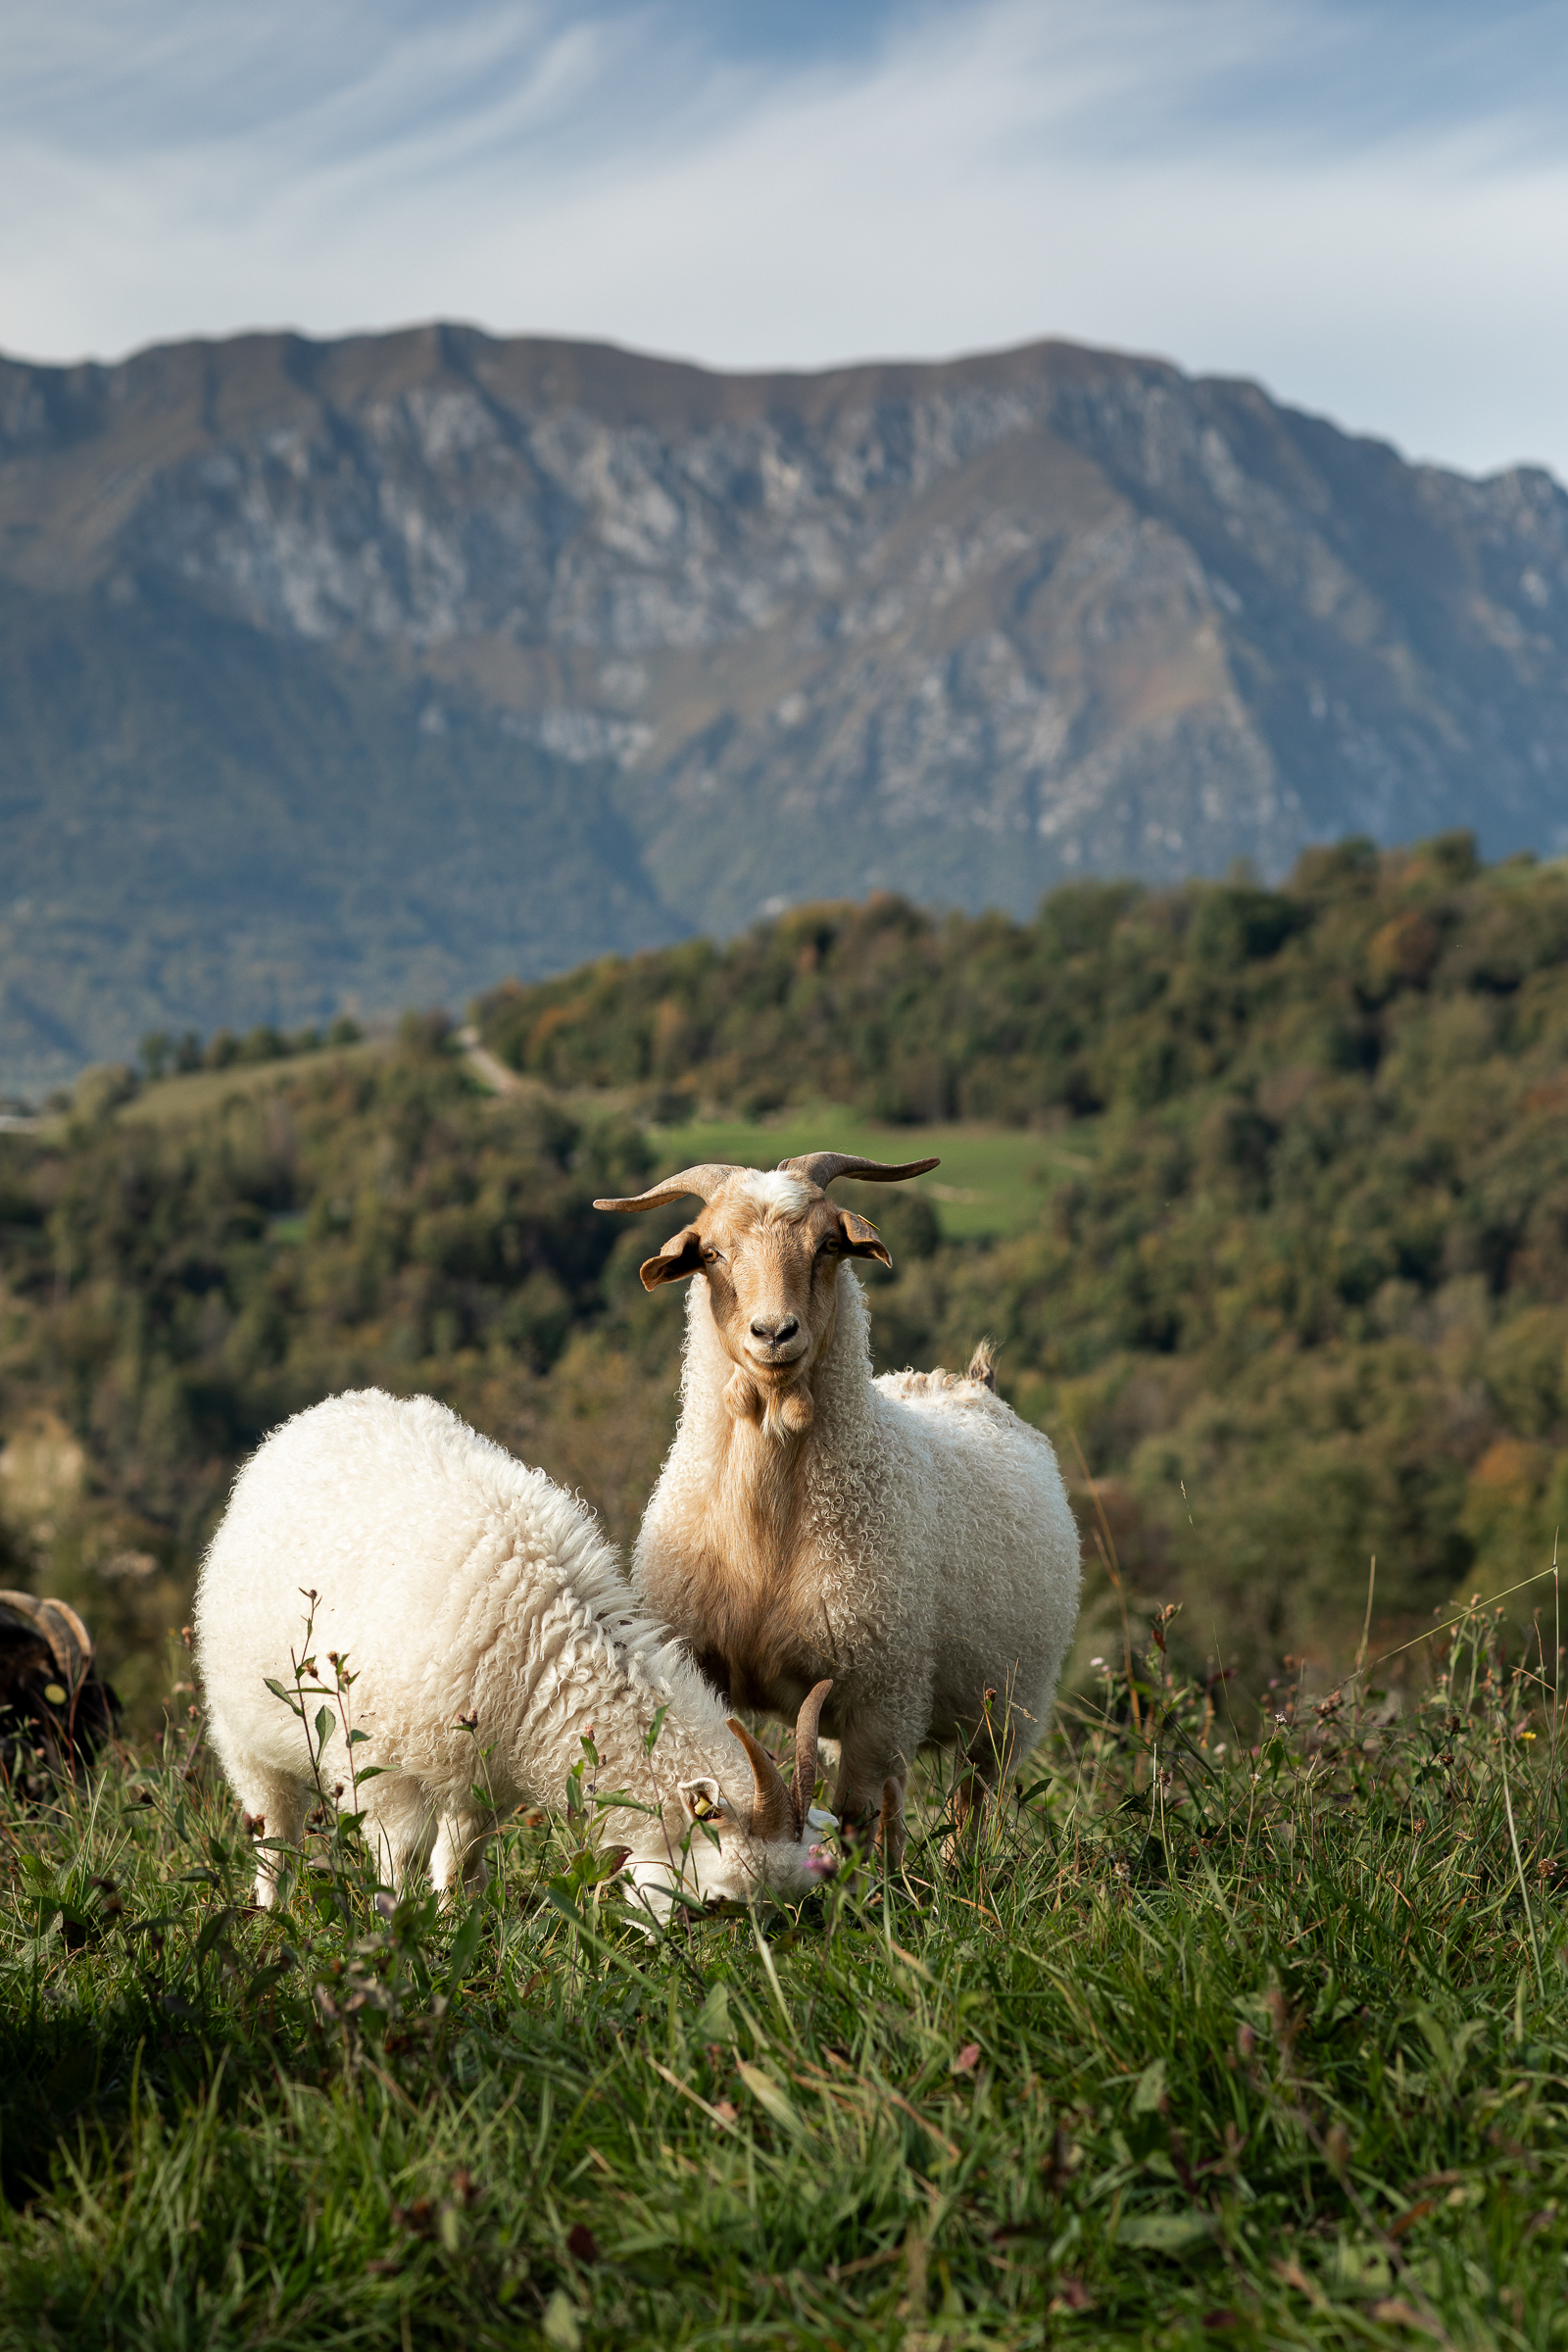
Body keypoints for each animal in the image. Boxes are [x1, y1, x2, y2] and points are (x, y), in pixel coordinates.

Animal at [194, 1389, 835, 1920]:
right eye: (723, 1901)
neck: (546, 1649)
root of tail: (323, 1411)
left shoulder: (483, 1776)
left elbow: (461, 1857)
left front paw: (457, 1920)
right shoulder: (376, 1765)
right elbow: (399, 1855)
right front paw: (396, 1929)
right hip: (243, 1730)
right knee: (273, 1826)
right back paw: (270, 1908)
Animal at [595, 1152, 1081, 1860]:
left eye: (828, 1245)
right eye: (711, 1252)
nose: (774, 1333)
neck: (765, 1539)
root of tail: (967, 1384)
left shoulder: (882, 1698)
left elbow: (856, 1821)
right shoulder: (711, 1670)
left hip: (1007, 1712)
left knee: (966, 1803)